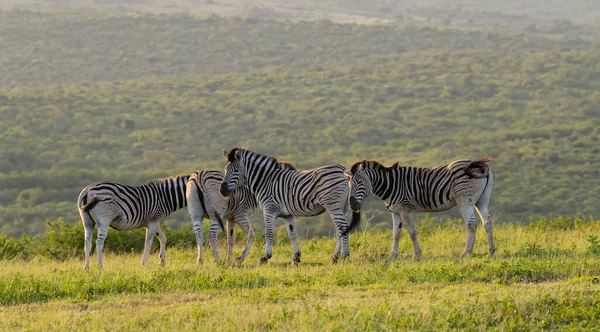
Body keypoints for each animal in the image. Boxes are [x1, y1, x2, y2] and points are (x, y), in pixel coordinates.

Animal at [77, 174, 223, 270]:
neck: (165, 197)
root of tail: (87, 190)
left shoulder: (153, 222)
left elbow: (163, 238)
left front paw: (162, 261)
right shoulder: (154, 220)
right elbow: (148, 242)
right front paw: (144, 264)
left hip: (87, 222)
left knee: (87, 243)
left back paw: (86, 268)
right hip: (104, 220)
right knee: (99, 242)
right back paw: (100, 267)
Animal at [218, 148, 354, 264]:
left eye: (235, 171)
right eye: (225, 169)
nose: (222, 190)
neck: (265, 180)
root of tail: (343, 170)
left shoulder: (269, 209)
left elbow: (269, 233)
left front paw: (265, 257)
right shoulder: (287, 214)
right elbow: (292, 234)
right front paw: (296, 257)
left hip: (333, 205)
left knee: (342, 227)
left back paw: (345, 256)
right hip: (343, 208)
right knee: (340, 229)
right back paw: (335, 257)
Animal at [344, 158, 494, 260]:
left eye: (360, 183)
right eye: (349, 184)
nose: (352, 205)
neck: (391, 184)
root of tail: (476, 163)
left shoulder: (406, 210)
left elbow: (412, 232)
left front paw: (417, 255)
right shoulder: (396, 212)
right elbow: (396, 234)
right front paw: (392, 255)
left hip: (464, 200)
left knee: (471, 224)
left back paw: (465, 253)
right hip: (482, 200)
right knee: (487, 222)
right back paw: (491, 250)